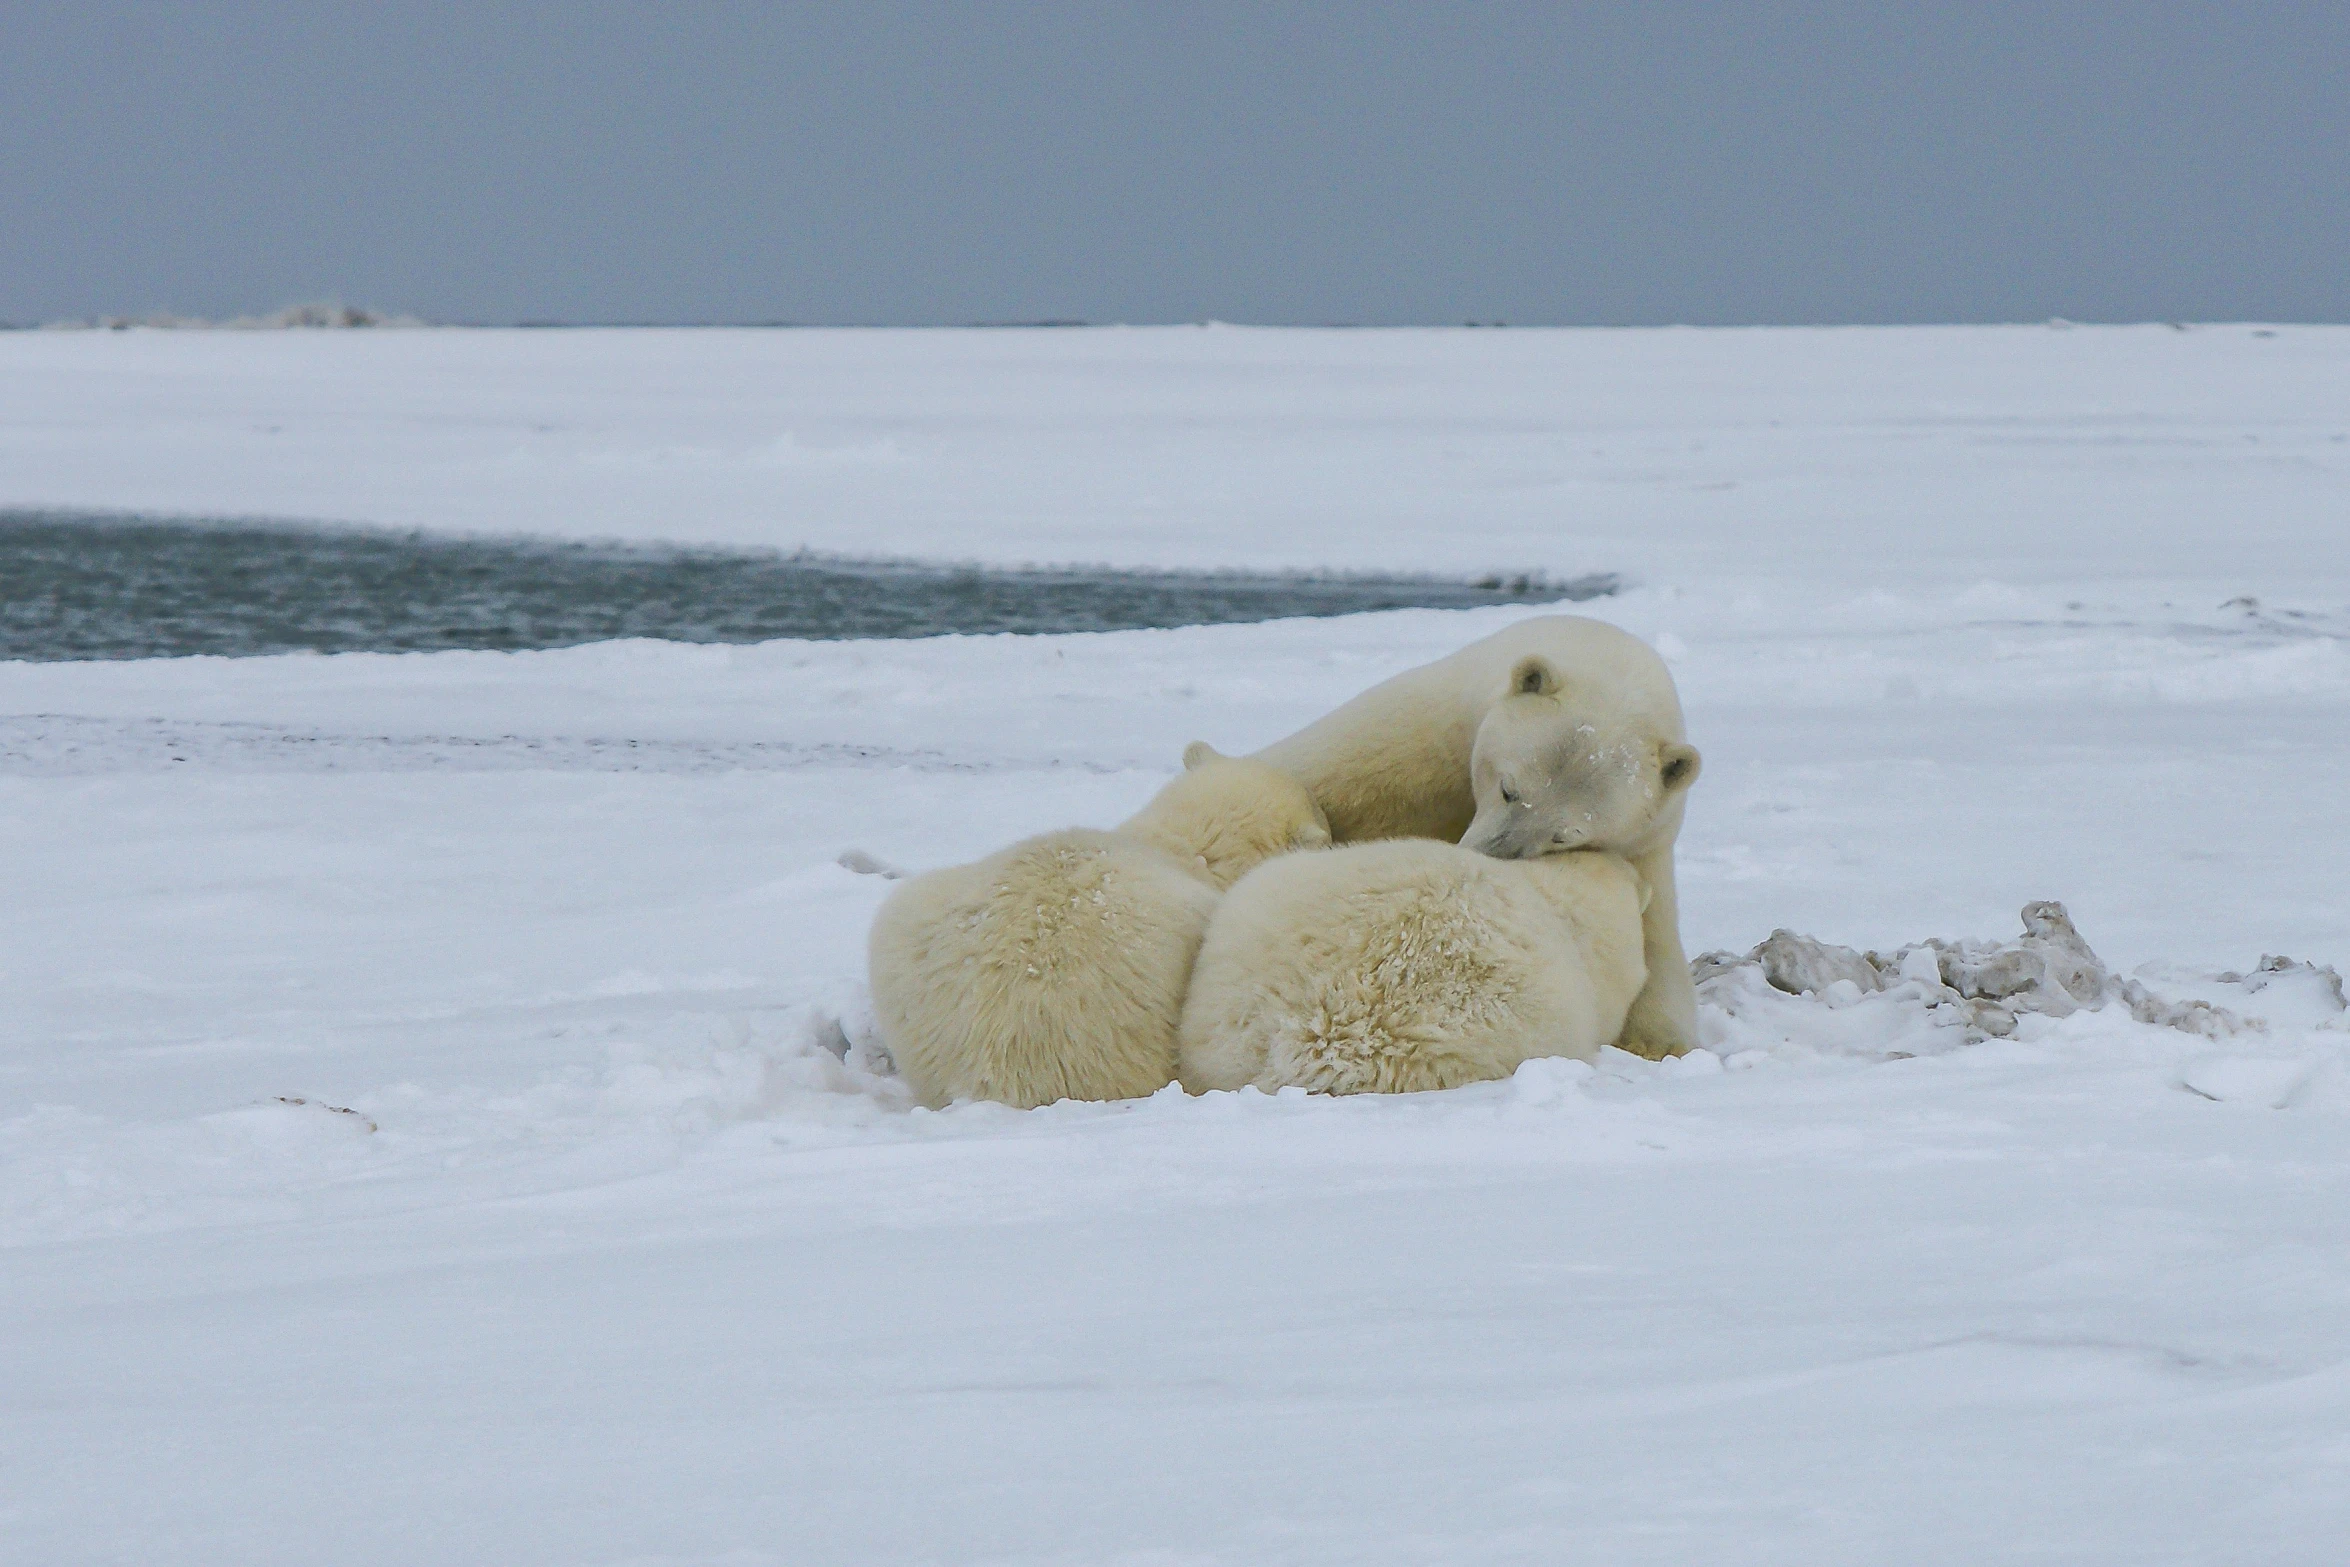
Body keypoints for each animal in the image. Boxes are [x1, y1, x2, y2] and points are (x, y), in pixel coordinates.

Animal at [1250, 620, 1710, 1061]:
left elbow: (1653, 938)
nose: (1491, 856)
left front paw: (1655, 1043)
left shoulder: (1646, 839)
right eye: (1509, 788)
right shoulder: (1420, 743)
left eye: (1564, 836)